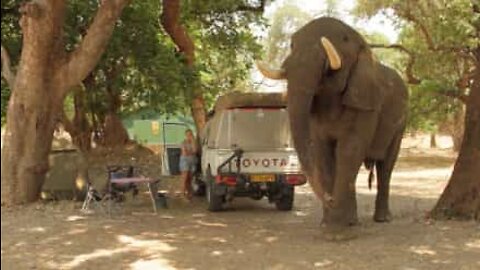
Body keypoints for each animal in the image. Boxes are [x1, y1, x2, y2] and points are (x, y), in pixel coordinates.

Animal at [256, 16, 406, 228]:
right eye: (292, 44)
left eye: (344, 39)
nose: (329, 198)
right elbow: (323, 151)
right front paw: (332, 223)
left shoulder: (365, 101)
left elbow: (350, 149)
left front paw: (337, 227)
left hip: (401, 123)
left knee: (386, 166)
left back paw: (382, 219)